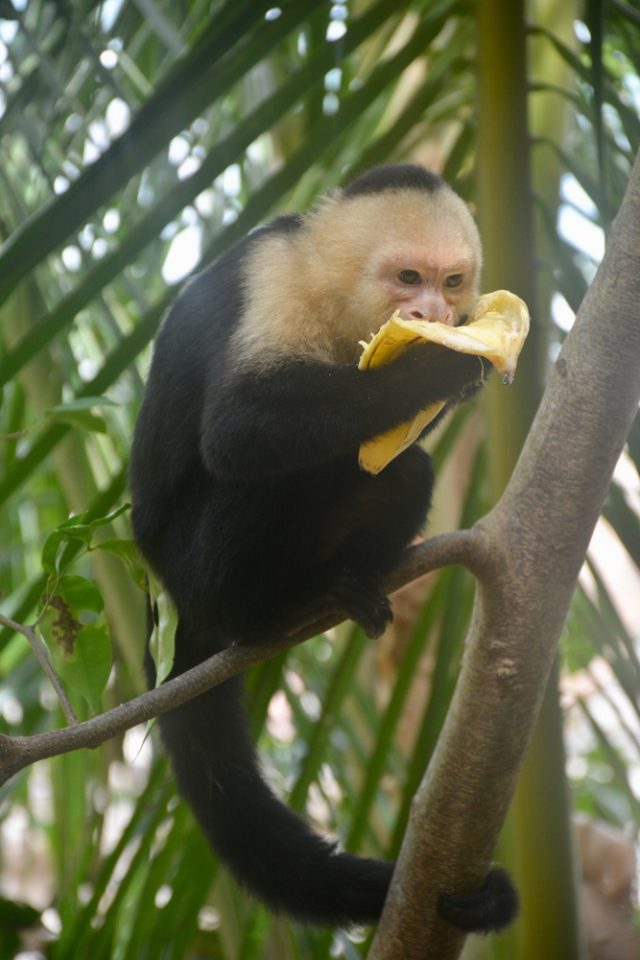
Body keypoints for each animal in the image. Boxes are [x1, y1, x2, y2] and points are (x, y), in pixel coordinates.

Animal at [130, 163, 520, 928]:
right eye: (408, 278)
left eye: (452, 282)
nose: (434, 314)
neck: (338, 304)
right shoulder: (276, 272)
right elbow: (241, 426)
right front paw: (429, 370)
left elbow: (396, 443)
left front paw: (463, 364)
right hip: (195, 571)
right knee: (278, 474)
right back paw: (264, 614)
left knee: (400, 469)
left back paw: (345, 584)